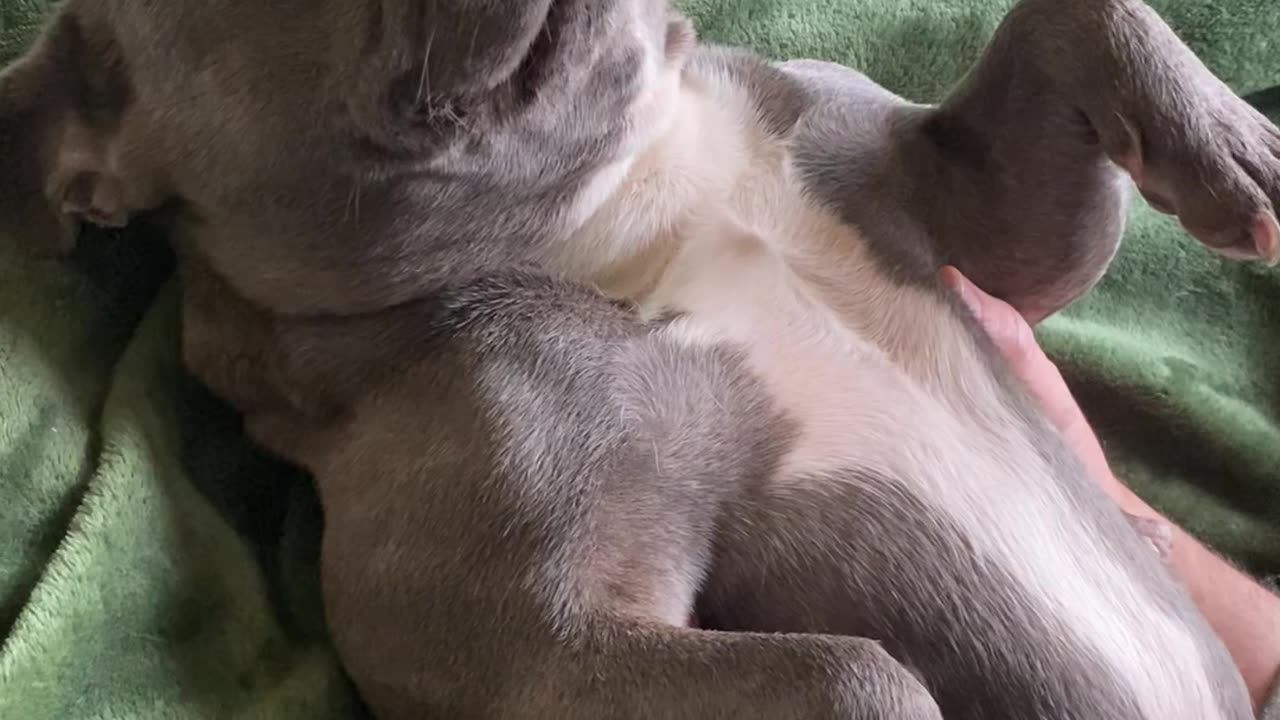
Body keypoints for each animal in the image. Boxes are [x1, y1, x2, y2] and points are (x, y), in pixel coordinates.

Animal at [2, 0, 1280, 712]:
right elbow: (857, 676)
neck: (629, 189)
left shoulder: (973, 221)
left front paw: (1231, 148)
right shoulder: (548, 647)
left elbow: (1065, 18)